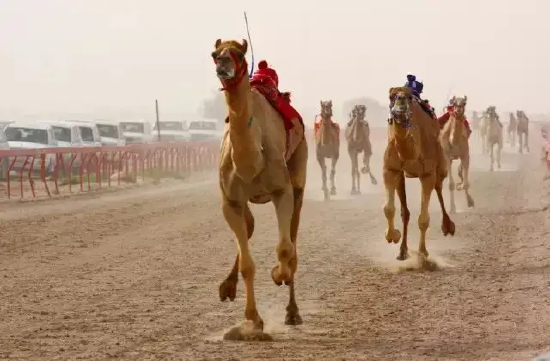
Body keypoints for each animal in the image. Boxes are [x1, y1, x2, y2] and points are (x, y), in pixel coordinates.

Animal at [211, 39, 308, 340]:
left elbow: (286, 249)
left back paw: (293, 312)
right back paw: (227, 288)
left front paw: (277, 274)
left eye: (239, 54)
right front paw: (253, 320)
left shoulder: (281, 191)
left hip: (299, 176)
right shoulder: (230, 201)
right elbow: (247, 265)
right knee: (251, 225)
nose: (223, 65)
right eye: (214, 54)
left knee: (293, 240)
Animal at [384, 87, 458, 262]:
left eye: (409, 97)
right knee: (405, 211)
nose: (401, 103)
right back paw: (403, 251)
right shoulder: (390, 169)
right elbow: (388, 209)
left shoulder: (427, 174)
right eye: (391, 96)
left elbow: (424, 219)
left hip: (441, 165)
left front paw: (423, 253)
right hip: (402, 176)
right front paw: (393, 236)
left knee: (439, 187)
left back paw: (448, 226)